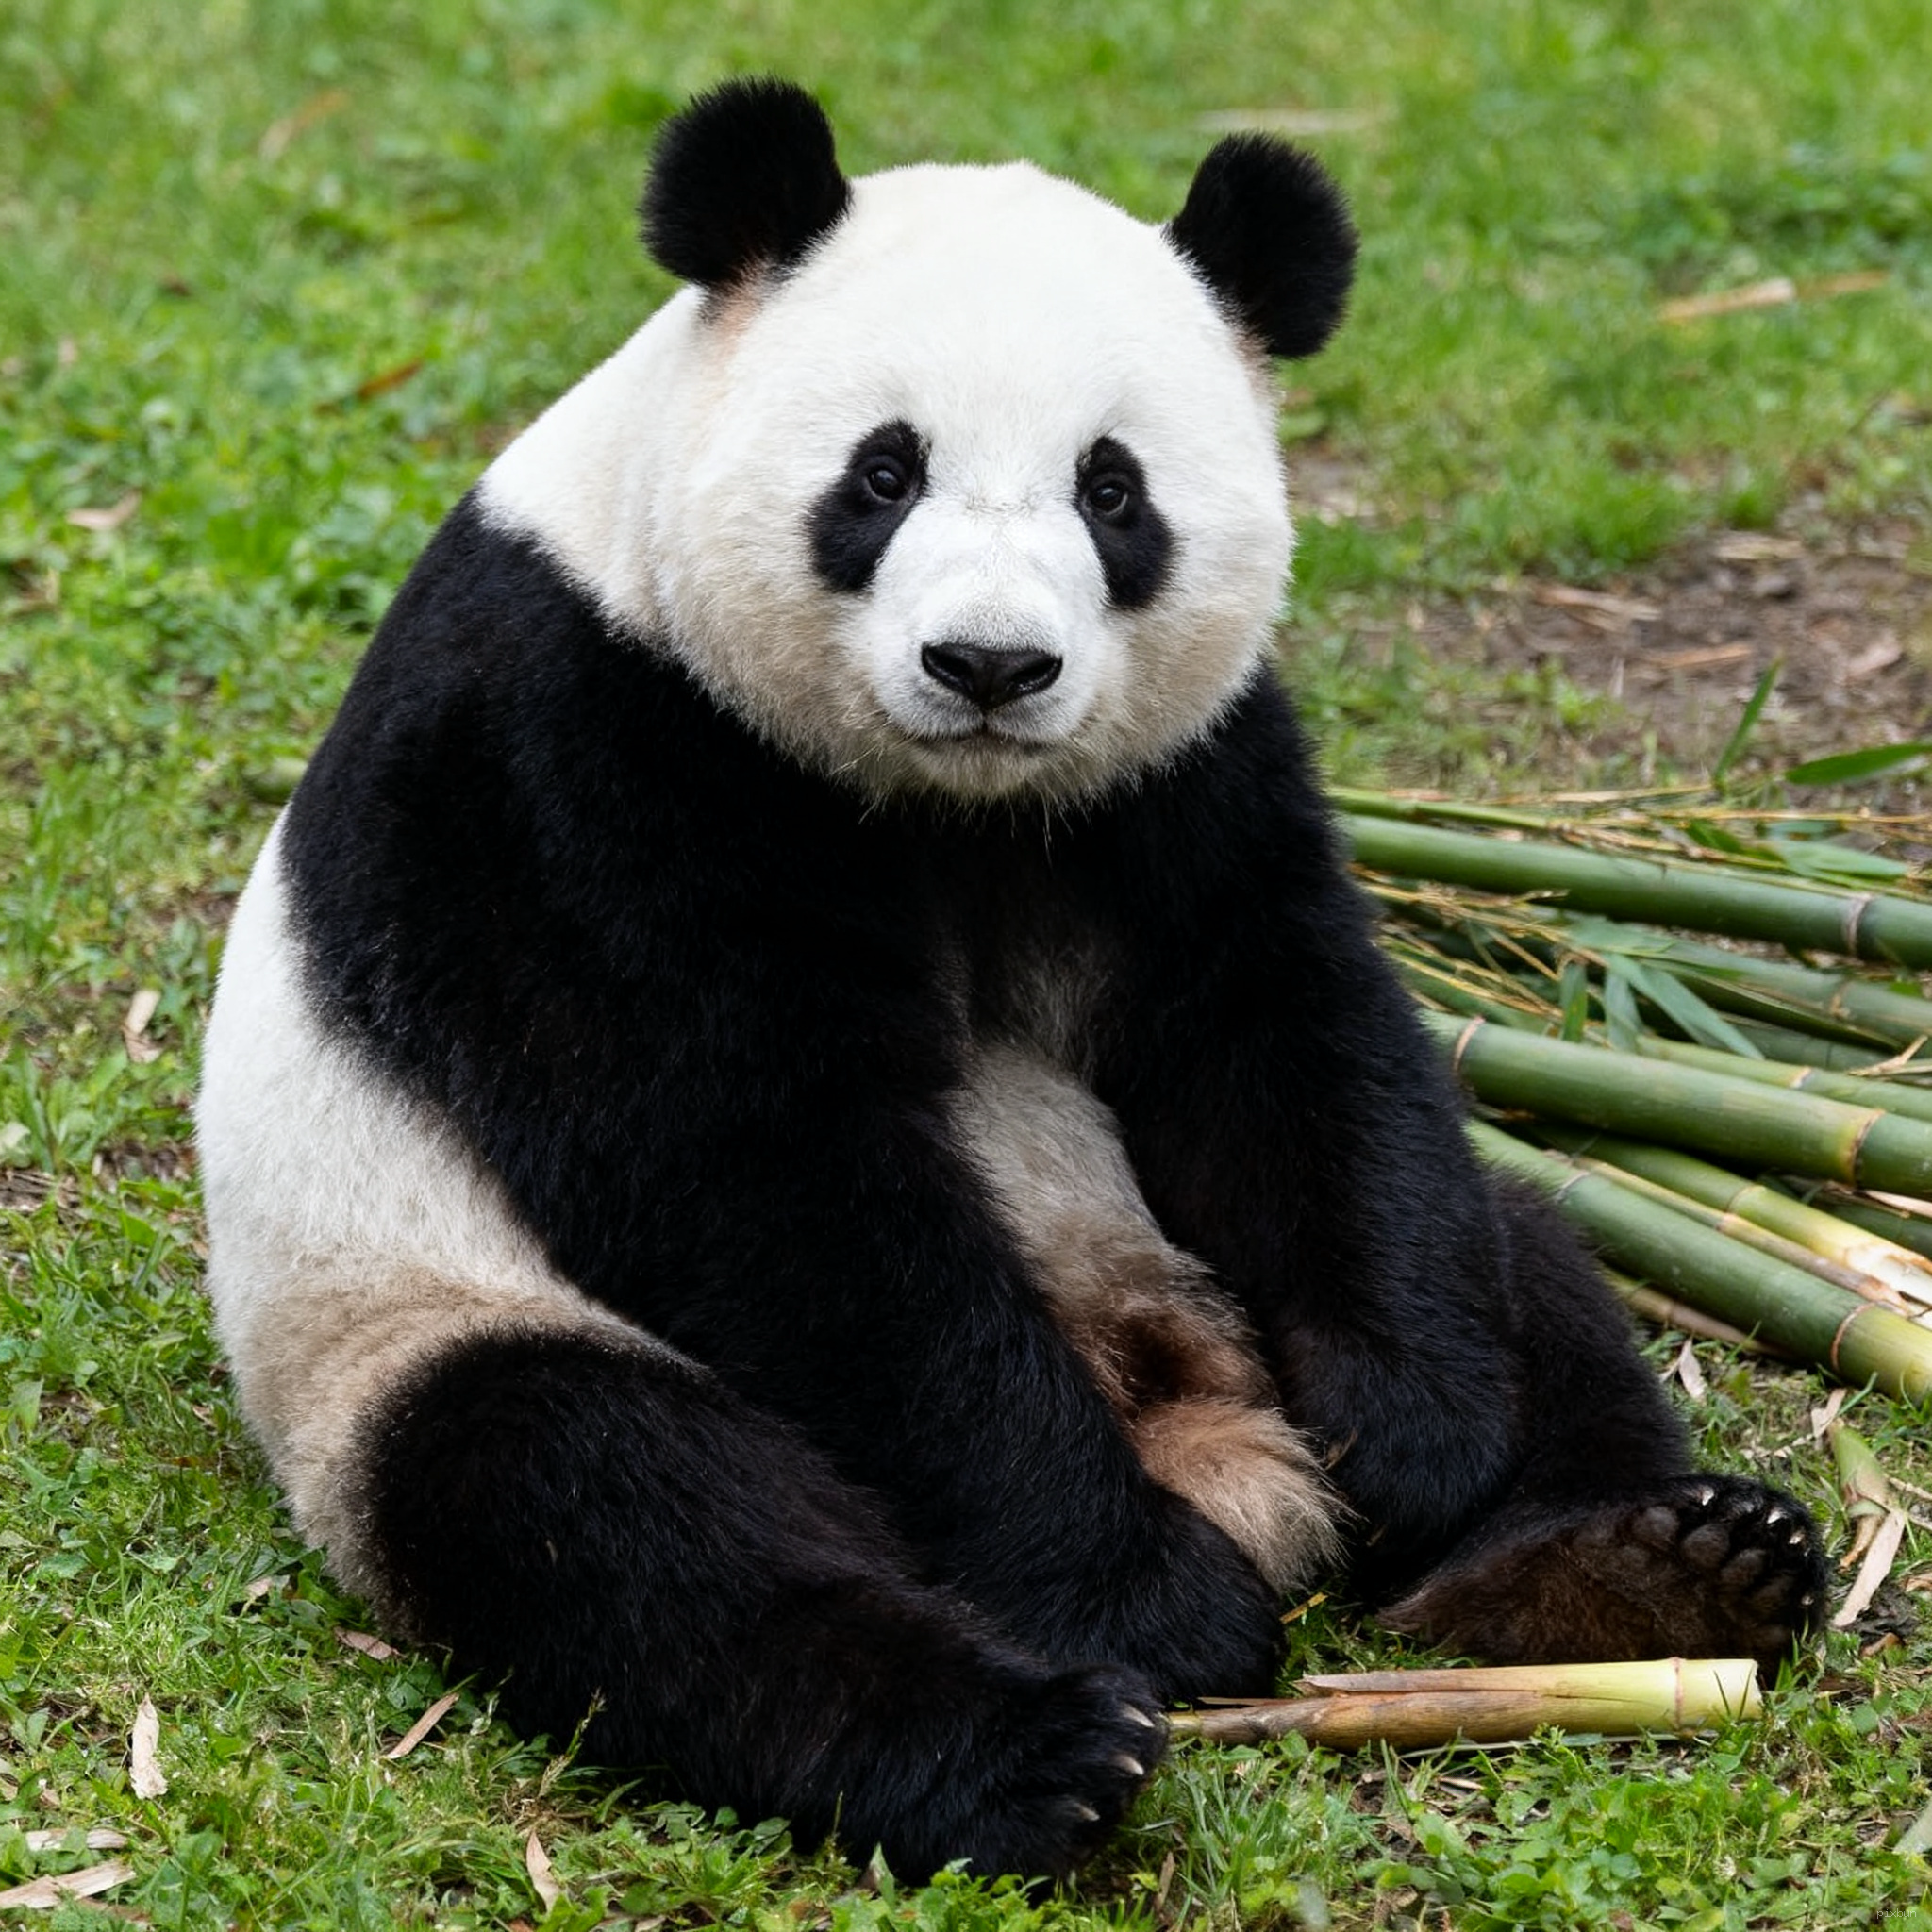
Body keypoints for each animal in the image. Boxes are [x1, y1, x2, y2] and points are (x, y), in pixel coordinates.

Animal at [197, 78, 1826, 1882]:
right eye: (881, 471)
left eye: (1113, 491)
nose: (989, 664)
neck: (947, 798)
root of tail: (1199, 1425)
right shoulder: (577, 751)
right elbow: (766, 1178)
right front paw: (1149, 1603)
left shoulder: (1182, 768)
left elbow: (1280, 1023)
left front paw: (1416, 1432)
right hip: (401, 1319)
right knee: (599, 1498)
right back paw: (1032, 1745)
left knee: (1520, 1248)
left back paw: (1638, 1568)